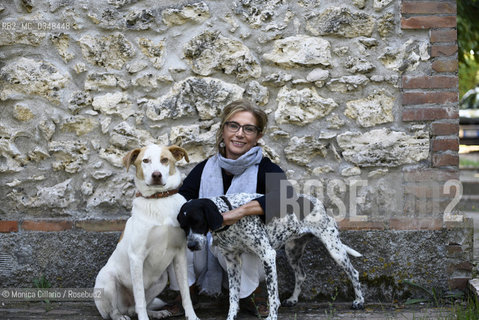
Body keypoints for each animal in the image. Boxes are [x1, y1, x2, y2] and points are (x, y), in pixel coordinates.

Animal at [94, 144, 199, 320]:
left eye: (164, 160)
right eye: (145, 160)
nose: (156, 175)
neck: (159, 199)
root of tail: (126, 307)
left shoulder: (180, 254)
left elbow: (185, 293)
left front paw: (192, 316)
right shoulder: (136, 256)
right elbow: (140, 298)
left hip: (161, 280)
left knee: (137, 307)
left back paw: (156, 313)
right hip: (107, 281)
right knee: (115, 311)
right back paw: (120, 316)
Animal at [178, 191, 366, 318]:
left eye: (198, 222)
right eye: (183, 226)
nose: (191, 245)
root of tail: (319, 203)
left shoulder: (267, 255)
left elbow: (273, 296)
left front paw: (272, 316)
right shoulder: (232, 263)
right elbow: (233, 297)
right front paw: (231, 316)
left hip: (334, 249)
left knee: (354, 273)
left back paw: (359, 301)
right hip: (292, 251)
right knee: (301, 274)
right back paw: (293, 299)